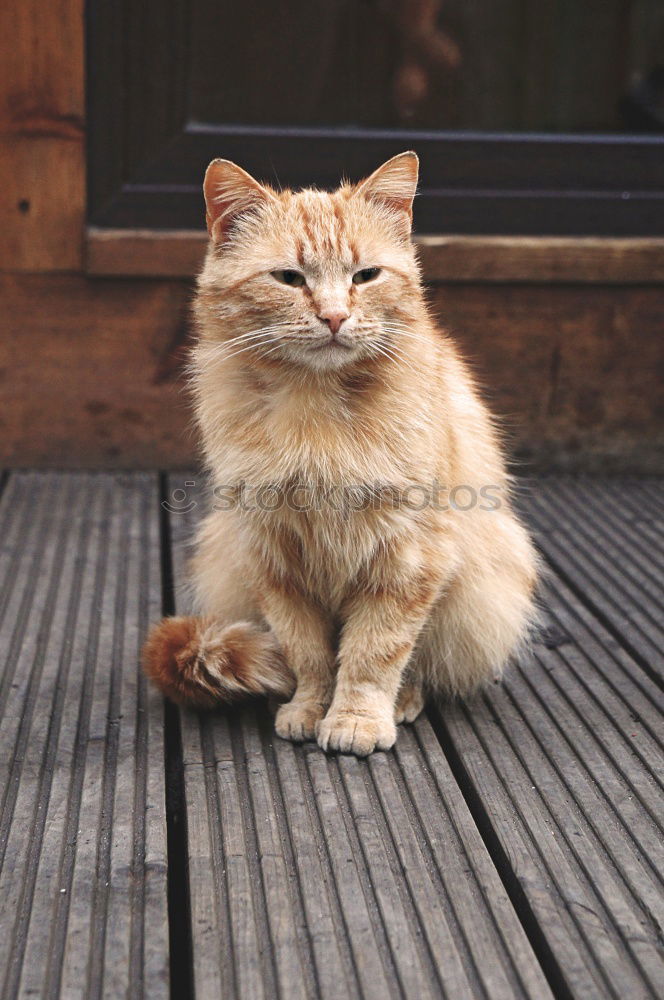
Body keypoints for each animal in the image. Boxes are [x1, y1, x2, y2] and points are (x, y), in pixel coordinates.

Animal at [143, 152, 536, 752]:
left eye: (365, 276)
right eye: (288, 277)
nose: (333, 317)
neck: (316, 410)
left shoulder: (408, 559)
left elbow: (374, 653)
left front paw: (356, 719)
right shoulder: (273, 558)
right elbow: (306, 651)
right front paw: (310, 707)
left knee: (419, 665)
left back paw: (403, 700)